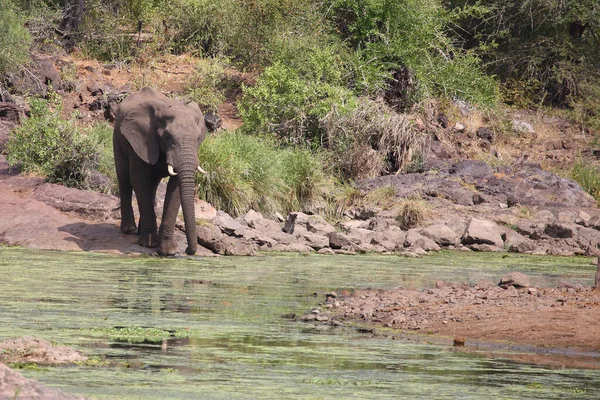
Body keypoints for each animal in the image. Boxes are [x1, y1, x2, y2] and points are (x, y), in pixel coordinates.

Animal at [113, 88, 209, 256]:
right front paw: (149, 244)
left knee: (152, 185)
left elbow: (175, 188)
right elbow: (138, 181)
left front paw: (169, 252)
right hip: (118, 134)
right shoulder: (140, 141)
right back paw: (129, 230)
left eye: (198, 138)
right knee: (124, 178)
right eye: (166, 137)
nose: (187, 250)